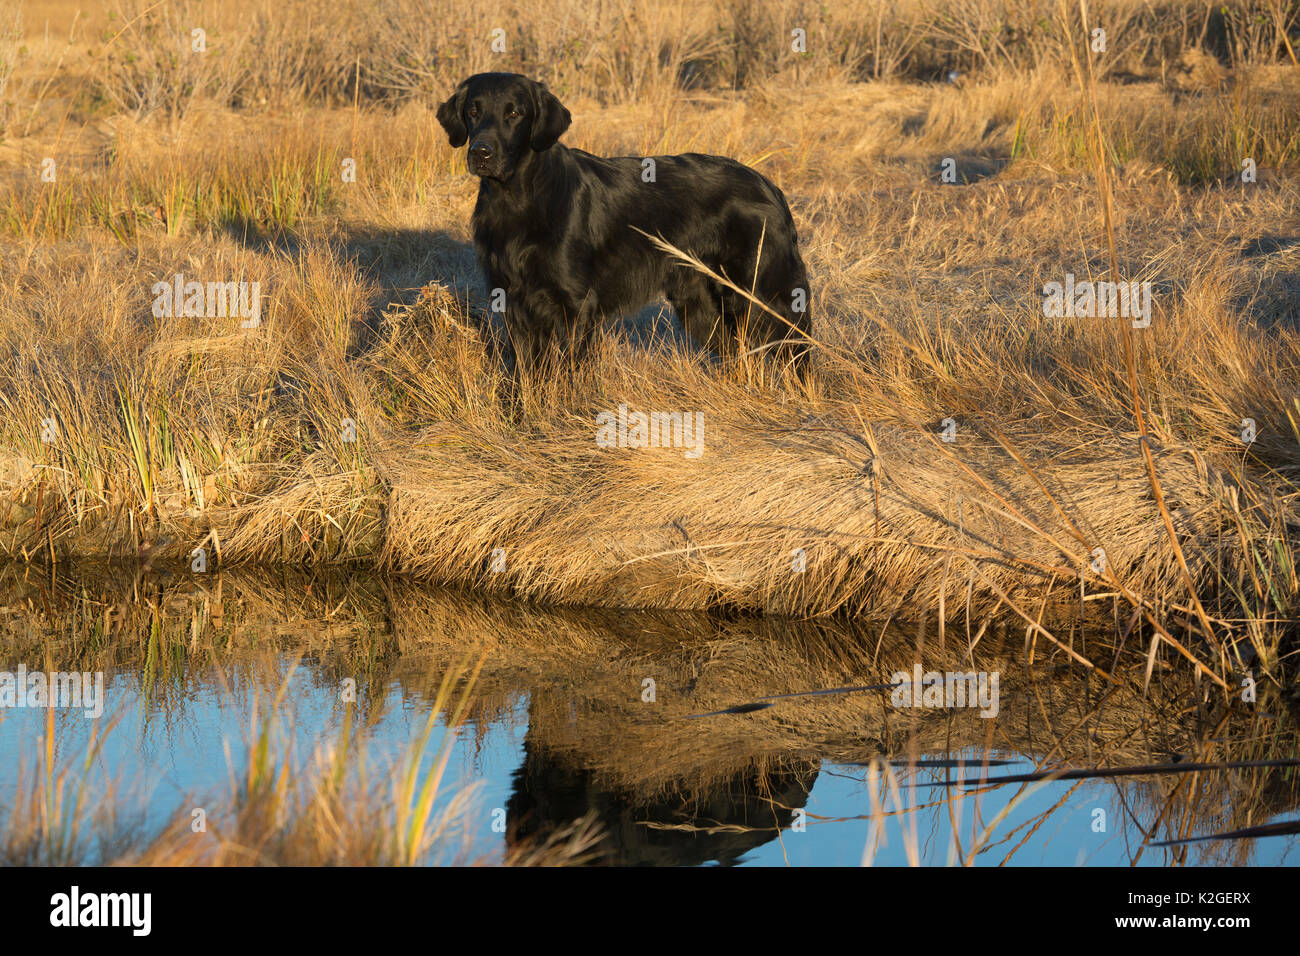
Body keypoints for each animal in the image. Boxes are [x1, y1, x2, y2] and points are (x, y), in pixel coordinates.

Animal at [436, 73, 811, 374]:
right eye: (473, 111)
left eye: (514, 113)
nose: (481, 153)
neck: (518, 199)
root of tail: (770, 186)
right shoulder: (513, 303)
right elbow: (528, 374)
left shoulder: (575, 306)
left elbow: (567, 373)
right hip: (701, 305)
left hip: (764, 294)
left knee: (798, 350)